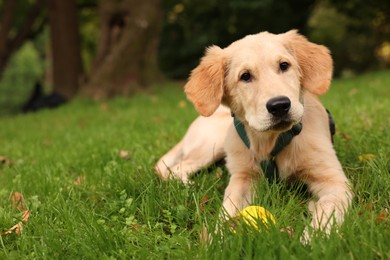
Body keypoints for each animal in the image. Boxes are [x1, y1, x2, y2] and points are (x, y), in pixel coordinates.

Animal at [155, 30, 354, 240]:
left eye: (284, 65)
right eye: (245, 76)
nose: (280, 106)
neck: (271, 142)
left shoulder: (334, 180)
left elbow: (328, 208)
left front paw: (315, 237)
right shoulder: (243, 178)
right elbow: (227, 211)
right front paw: (217, 238)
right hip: (214, 144)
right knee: (176, 168)